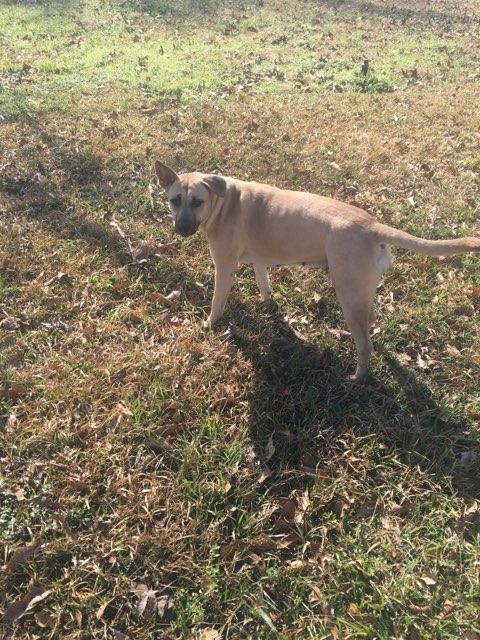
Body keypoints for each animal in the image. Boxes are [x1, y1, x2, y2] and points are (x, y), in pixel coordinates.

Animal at [156, 161, 478, 380]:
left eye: (197, 202)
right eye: (175, 200)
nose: (181, 229)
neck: (222, 203)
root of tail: (373, 227)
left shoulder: (223, 268)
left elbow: (216, 303)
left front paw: (209, 324)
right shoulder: (259, 261)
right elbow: (264, 283)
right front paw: (268, 303)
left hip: (348, 297)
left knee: (365, 346)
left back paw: (357, 379)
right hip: (361, 294)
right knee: (371, 321)